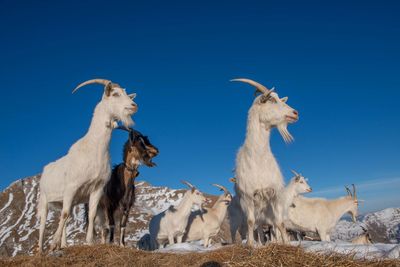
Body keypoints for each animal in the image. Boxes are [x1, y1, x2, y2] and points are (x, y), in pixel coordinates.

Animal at [37, 78, 138, 253]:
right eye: (115, 94)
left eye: (127, 94)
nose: (134, 106)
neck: (93, 148)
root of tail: (45, 170)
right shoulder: (71, 187)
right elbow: (64, 215)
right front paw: (53, 244)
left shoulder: (97, 188)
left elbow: (91, 215)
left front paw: (89, 241)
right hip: (44, 199)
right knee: (44, 224)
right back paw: (41, 250)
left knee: (66, 217)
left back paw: (64, 245)